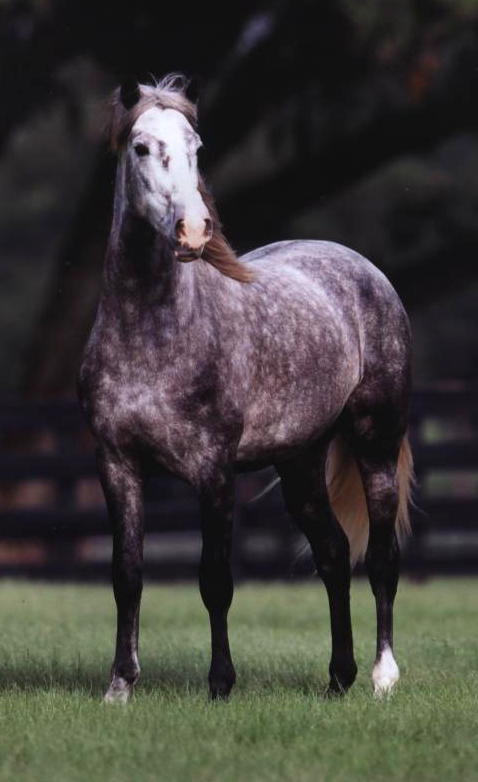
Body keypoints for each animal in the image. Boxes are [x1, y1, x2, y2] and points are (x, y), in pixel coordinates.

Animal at [78, 74, 413, 704]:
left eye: (196, 146)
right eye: (141, 147)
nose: (191, 230)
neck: (152, 334)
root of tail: (364, 269)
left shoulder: (214, 471)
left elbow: (215, 580)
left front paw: (220, 684)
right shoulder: (116, 466)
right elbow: (126, 575)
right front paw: (120, 686)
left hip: (375, 444)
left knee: (381, 558)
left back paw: (383, 676)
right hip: (300, 461)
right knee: (333, 555)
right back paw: (339, 677)